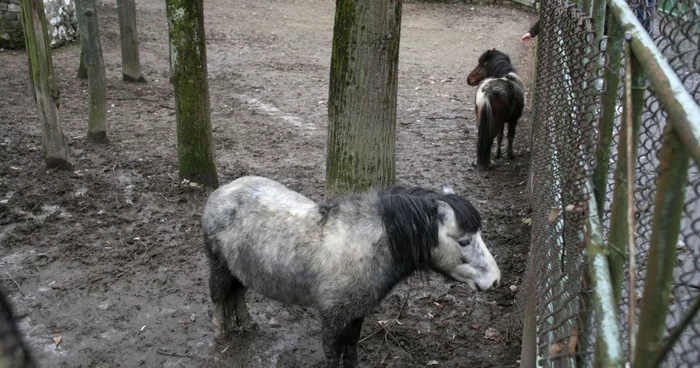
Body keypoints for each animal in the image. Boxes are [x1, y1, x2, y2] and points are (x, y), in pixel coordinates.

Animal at [200, 177, 500, 366]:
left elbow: (352, 348)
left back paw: (247, 323)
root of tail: (221, 191)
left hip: (239, 267)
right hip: (218, 264)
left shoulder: (356, 313)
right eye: (464, 241)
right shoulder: (332, 317)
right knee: (219, 295)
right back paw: (221, 332)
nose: (495, 280)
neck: (360, 246)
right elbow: (333, 353)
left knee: (238, 293)